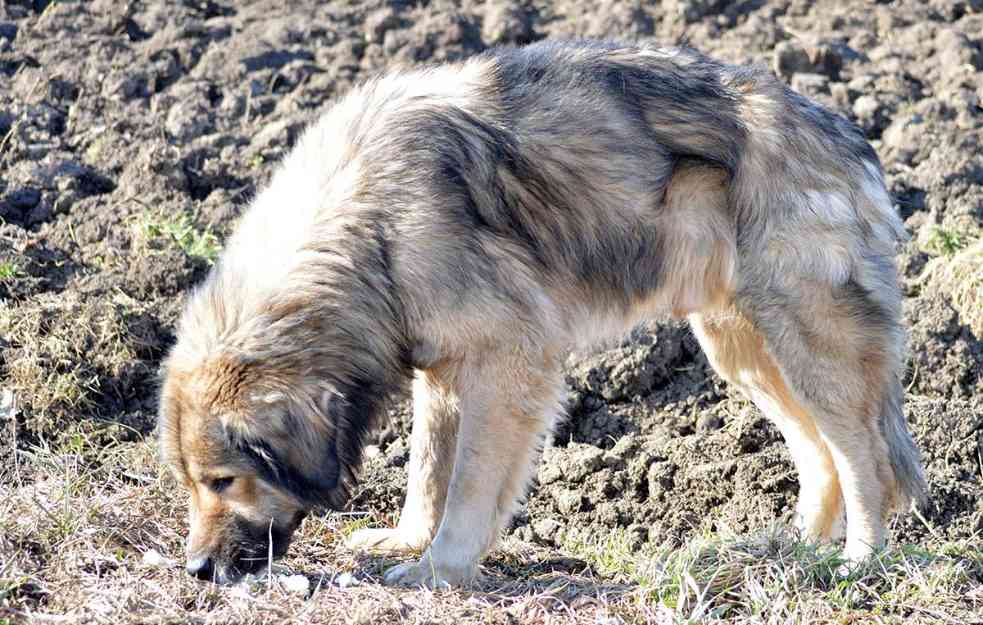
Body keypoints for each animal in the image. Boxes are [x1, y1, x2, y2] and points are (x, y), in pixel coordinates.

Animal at [158, 37, 928, 584]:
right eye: (190, 482)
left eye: (223, 480)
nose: (197, 570)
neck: (364, 225)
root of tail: (848, 138)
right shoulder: (441, 372)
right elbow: (427, 470)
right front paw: (409, 539)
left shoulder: (507, 366)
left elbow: (468, 485)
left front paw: (439, 569)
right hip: (742, 347)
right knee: (818, 454)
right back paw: (796, 551)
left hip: (808, 344)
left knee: (863, 458)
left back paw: (857, 560)